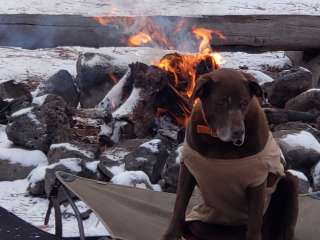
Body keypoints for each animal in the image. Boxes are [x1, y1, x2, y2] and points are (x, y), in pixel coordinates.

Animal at [161, 68, 298, 240]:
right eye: (222, 102)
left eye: (244, 103)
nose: (239, 132)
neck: (220, 143)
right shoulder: (188, 169)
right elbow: (179, 206)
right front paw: (171, 235)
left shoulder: (257, 179)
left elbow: (254, 224)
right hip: (200, 224)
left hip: (289, 182)